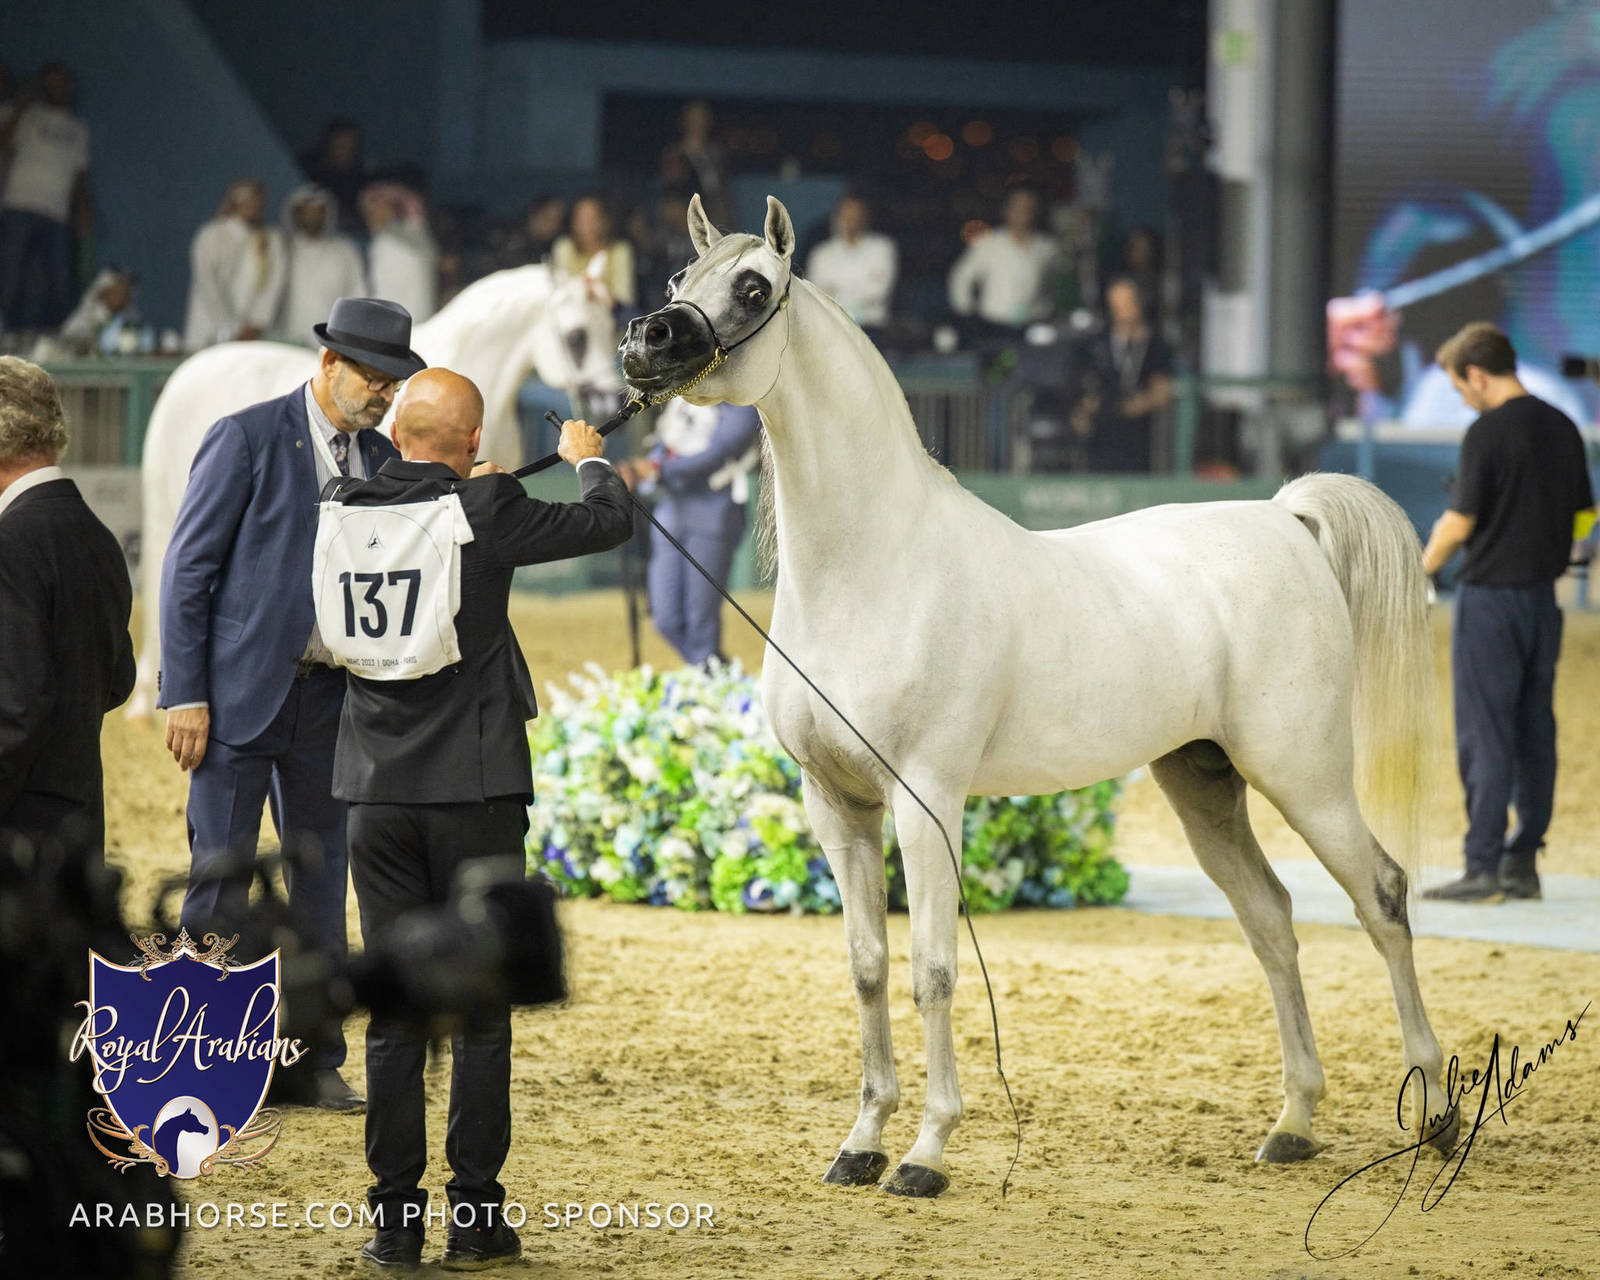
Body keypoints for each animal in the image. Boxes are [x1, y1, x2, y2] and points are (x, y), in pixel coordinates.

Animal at [617, 194, 1459, 1197]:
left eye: (752, 287)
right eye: (679, 277)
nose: (644, 342)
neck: (876, 566)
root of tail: (1282, 517)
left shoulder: (925, 802)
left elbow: (932, 969)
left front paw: (926, 1153)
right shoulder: (836, 805)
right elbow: (867, 967)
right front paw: (861, 1142)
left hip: (1306, 776)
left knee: (1382, 897)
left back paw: (1436, 1116)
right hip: (1204, 783)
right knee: (1272, 920)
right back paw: (1292, 1124)